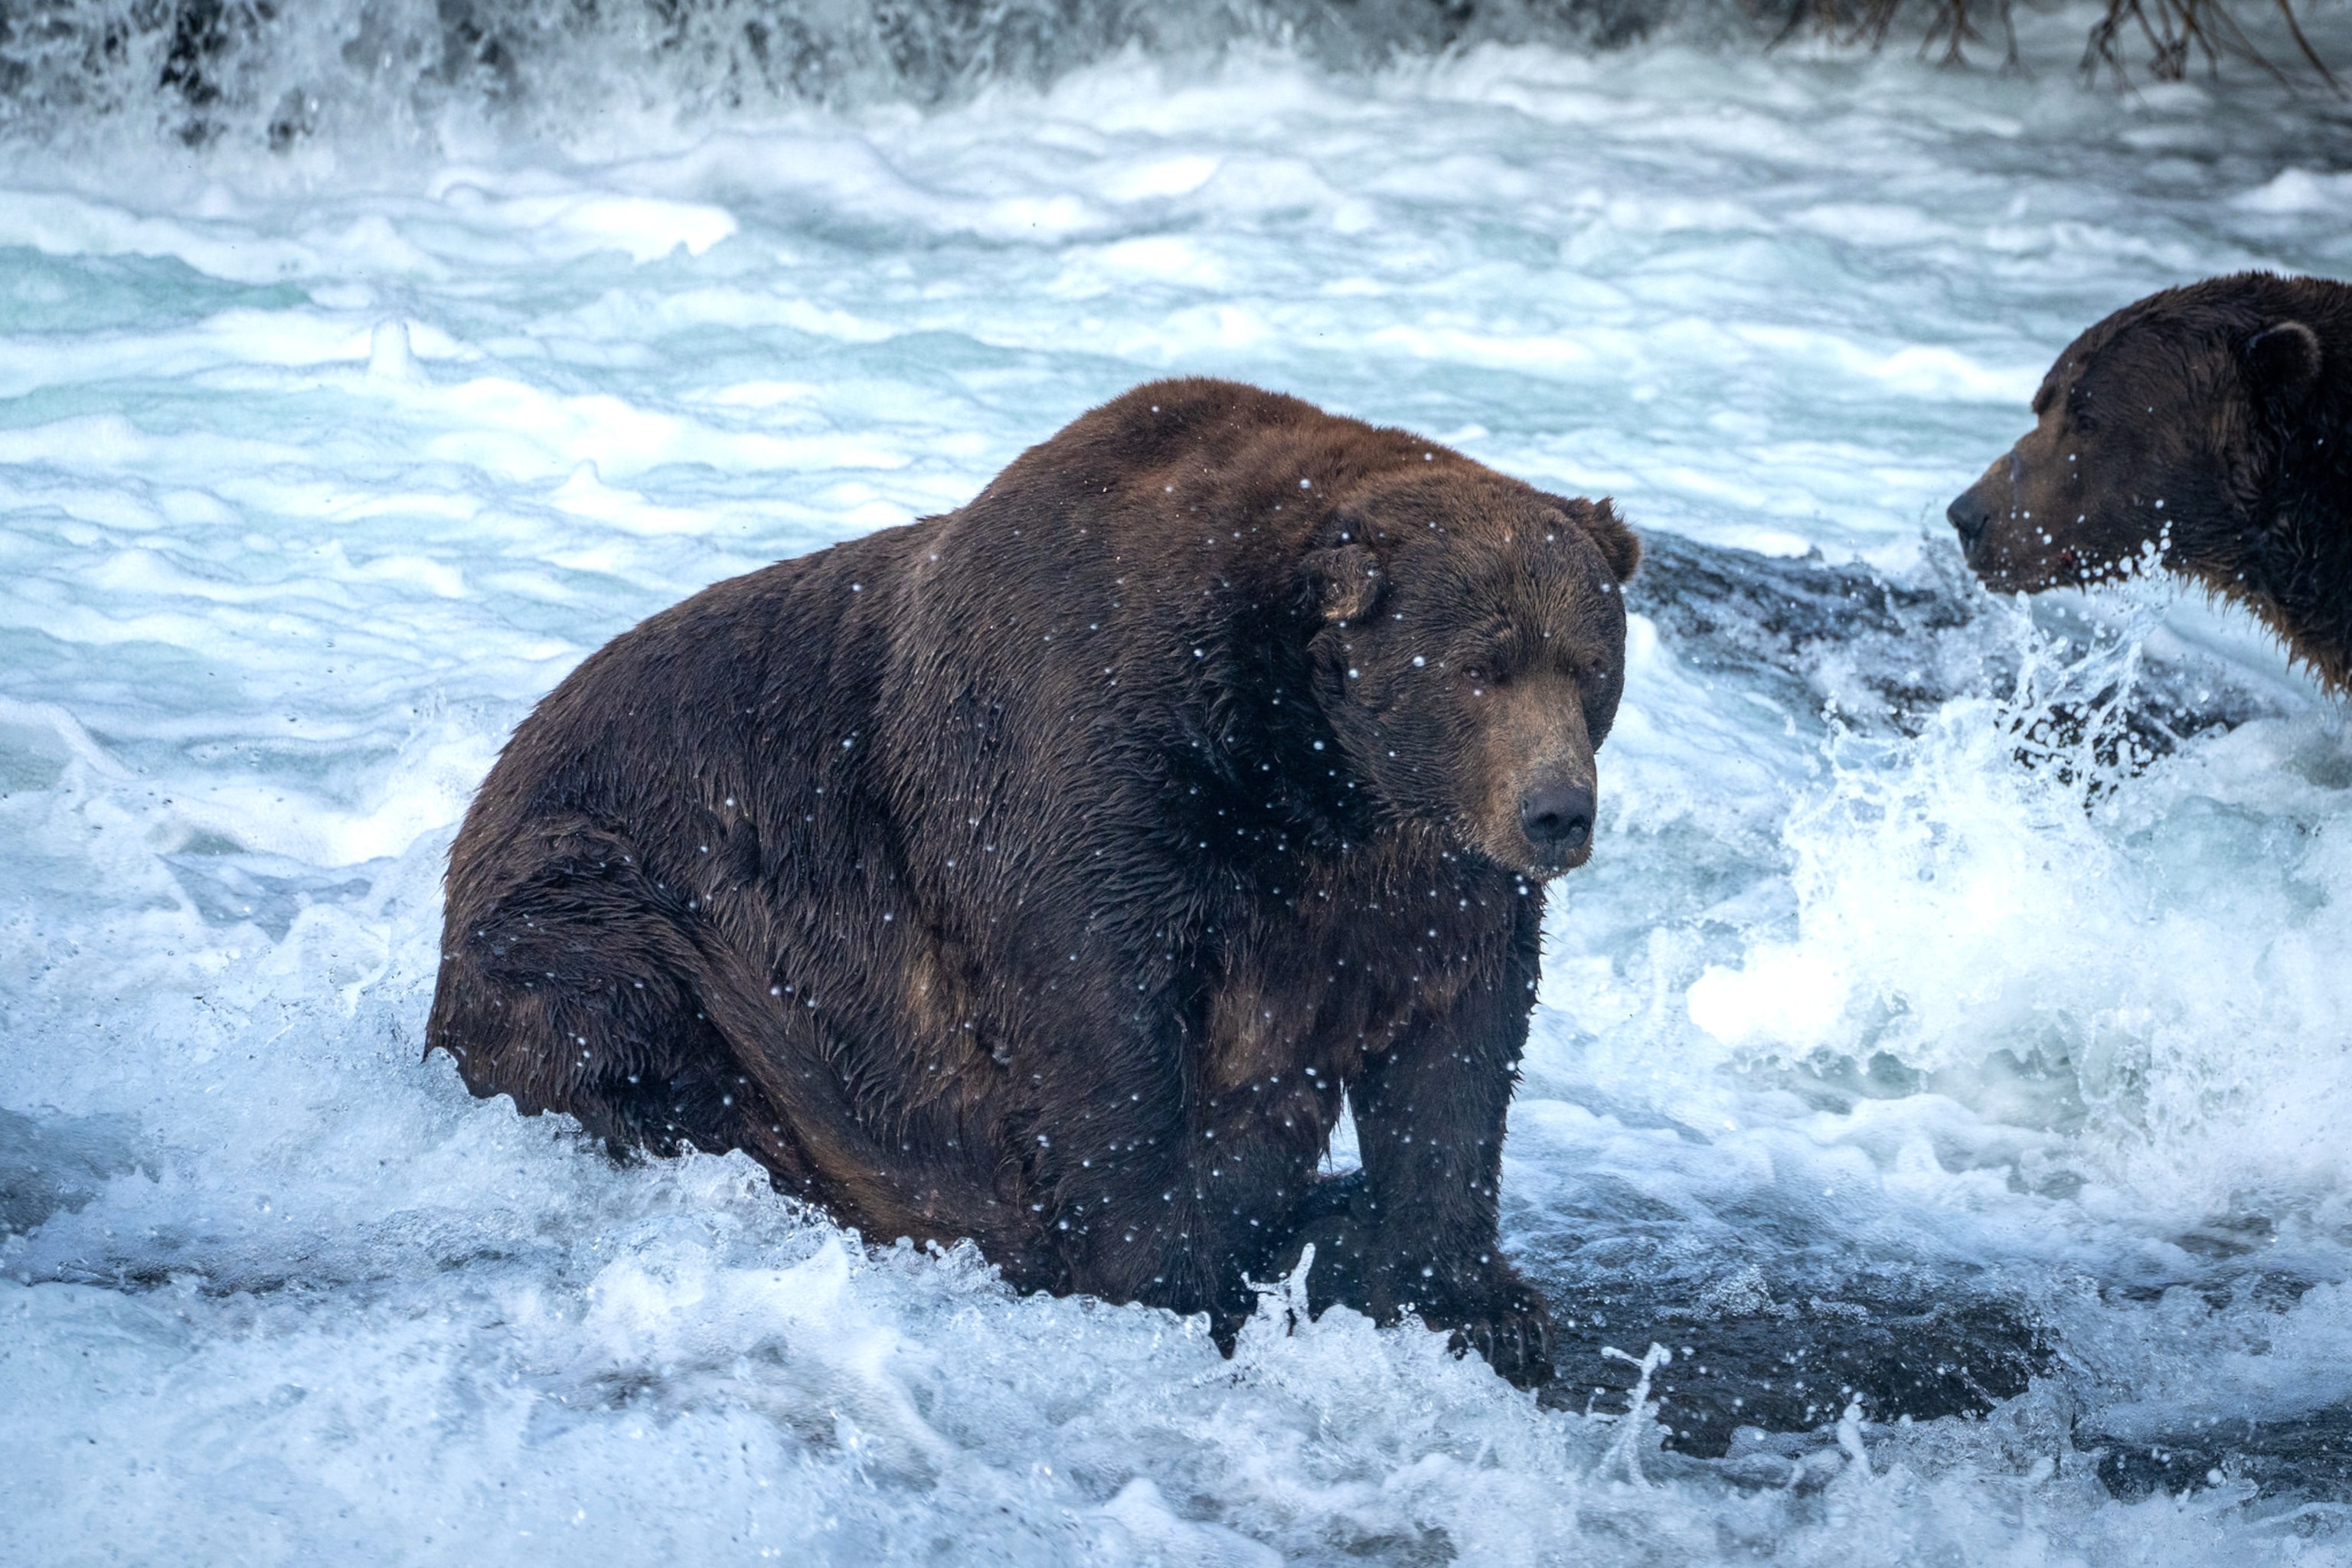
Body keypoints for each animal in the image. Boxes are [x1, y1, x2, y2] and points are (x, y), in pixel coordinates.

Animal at [428, 381, 1637, 1382]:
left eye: (1590, 665)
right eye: (1479, 667)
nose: (1557, 812)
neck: (1308, 773)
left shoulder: (1422, 880)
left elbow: (1456, 1051)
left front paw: (1478, 1299)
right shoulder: (1094, 763)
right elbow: (1096, 1020)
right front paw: (1170, 1280)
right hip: (622, 890)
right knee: (616, 1003)